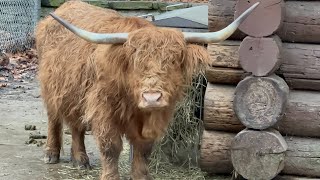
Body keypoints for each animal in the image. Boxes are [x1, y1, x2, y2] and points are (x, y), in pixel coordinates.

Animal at [35, 0, 258, 179]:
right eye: (135, 62)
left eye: (173, 60)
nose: (152, 98)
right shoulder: (104, 110)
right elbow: (111, 147)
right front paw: (110, 176)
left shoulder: (155, 118)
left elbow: (143, 150)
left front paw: (141, 176)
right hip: (51, 88)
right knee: (54, 118)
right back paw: (51, 154)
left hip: (75, 91)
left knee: (76, 124)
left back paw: (80, 158)